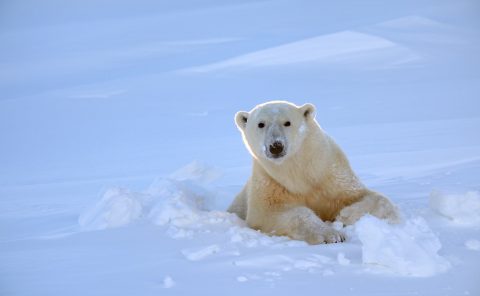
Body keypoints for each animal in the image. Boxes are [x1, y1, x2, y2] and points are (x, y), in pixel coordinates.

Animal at [227, 100, 400, 244]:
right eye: (261, 124)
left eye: (287, 122)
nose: (276, 146)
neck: (300, 172)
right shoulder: (270, 182)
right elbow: (271, 213)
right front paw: (331, 234)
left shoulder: (331, 175)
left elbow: (372, 198)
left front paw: (346, 214)